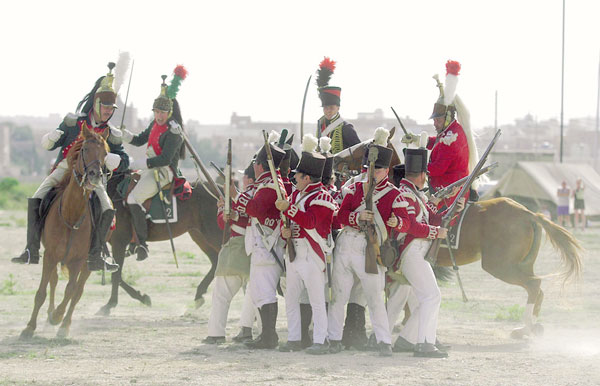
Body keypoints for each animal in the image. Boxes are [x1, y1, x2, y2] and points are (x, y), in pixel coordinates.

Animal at [20, 126, 109, 338]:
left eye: (105, 153)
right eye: (84, 149)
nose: (95, 175)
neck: (71, 214)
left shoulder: (78, 260)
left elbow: (71, 291)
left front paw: (59, 319)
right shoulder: (50, 255)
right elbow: (42, 291)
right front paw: (30, 327)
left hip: (88, 263)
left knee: (78, 291)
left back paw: (64, 323)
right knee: (53, 282)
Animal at [96, 173, 220, 316]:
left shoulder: (119, 243)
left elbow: (116, 276)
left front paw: (110, 304)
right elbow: (117, 274)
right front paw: (142, 297)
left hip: (213, 234)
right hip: (199, 236)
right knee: (216, 261)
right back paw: (199, 294)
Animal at [332, 136, 580, 338]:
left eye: (369, 144)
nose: (335, 160)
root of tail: (530, 213)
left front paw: (404, 322)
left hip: (500, 266)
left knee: (534, 285)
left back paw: (525, 328)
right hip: (520, 265)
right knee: (537, 288)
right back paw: (532, 326)